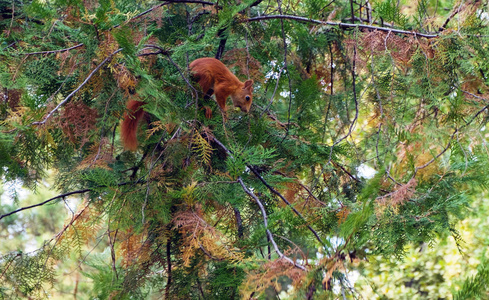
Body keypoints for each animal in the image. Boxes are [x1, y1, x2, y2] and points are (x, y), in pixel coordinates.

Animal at [120, 56, 254, 150]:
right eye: (247, 98)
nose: (246, 111)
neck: (236, 86)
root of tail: (187, 71)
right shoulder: (224, 87)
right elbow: (220, 97)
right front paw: (224, 113)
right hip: (205, 76)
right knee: (196, 94)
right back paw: (204, 106)